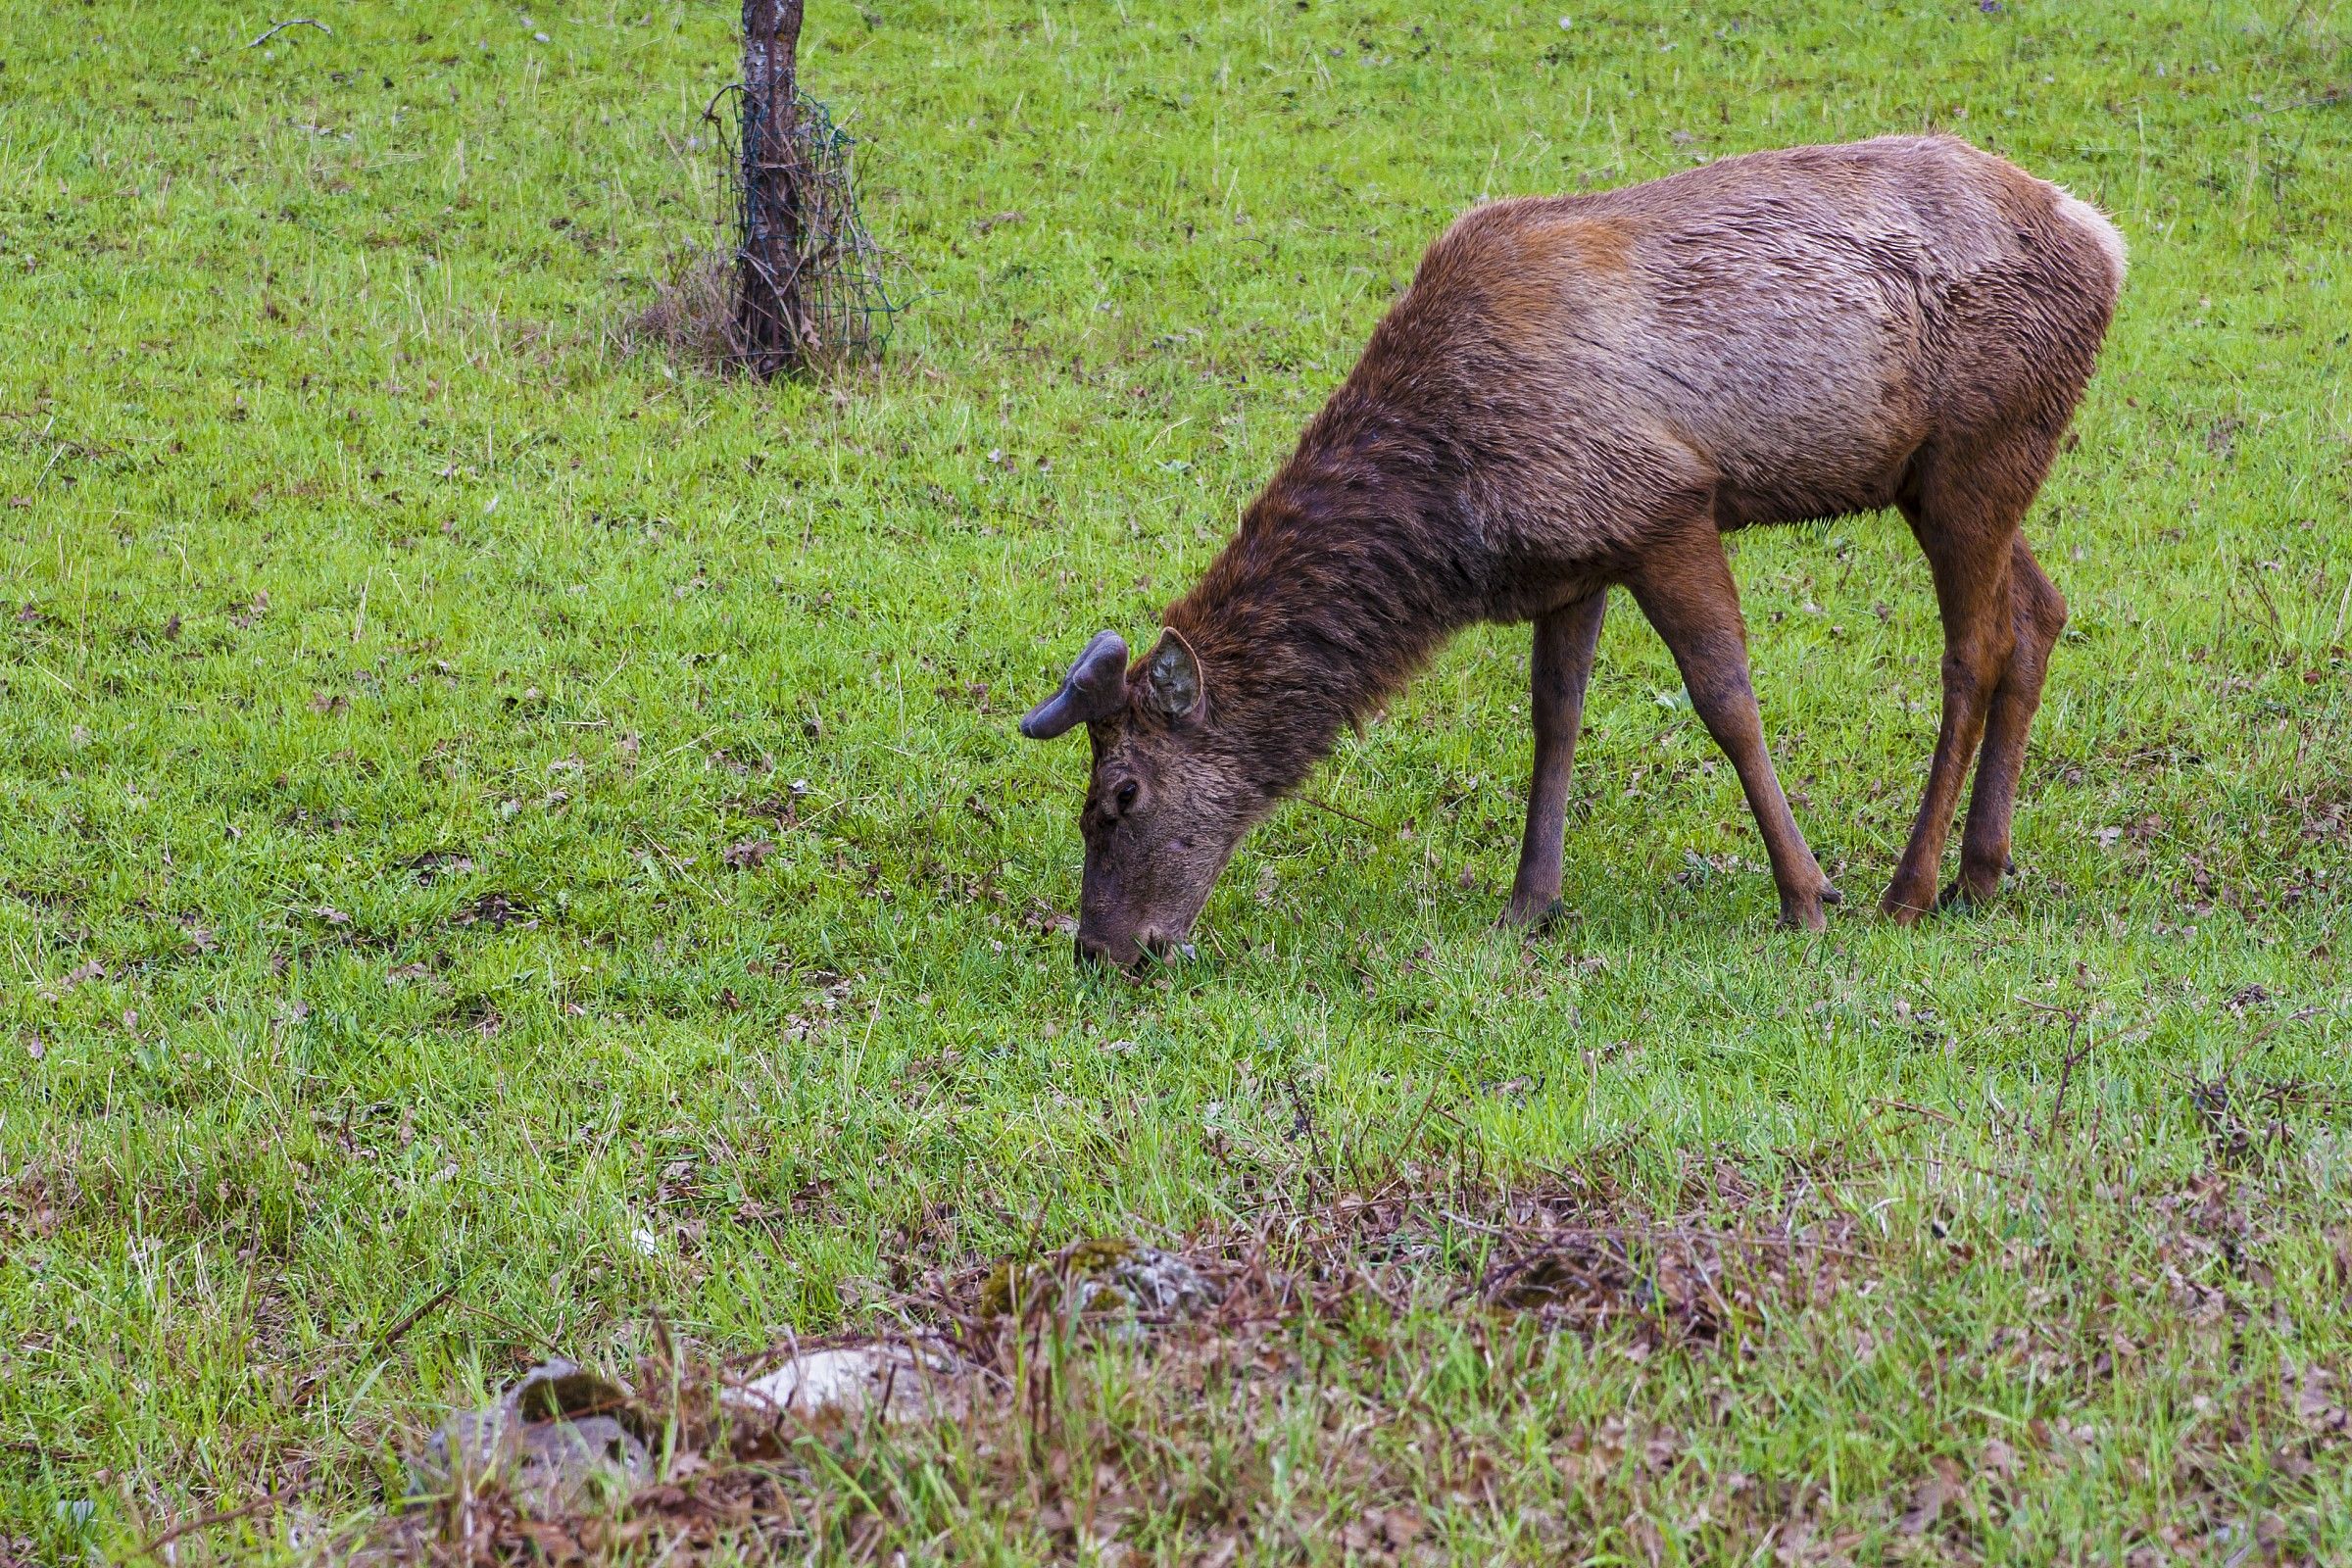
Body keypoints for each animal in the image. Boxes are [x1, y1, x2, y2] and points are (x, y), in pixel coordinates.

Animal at [1018, 135, 2125, 970]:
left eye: (1118, 798)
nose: (1100, 950)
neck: (1452, 512)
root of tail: (2105, 243)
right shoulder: (1573, 555)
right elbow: (1554, 717)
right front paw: (1528, 904)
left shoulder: (1664, 503)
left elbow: (1726, 700)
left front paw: (1806, 894)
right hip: (1945, 476)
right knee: (2042, 609)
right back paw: (1982, 873)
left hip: (1978, 454)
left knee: (1974, 649)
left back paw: (1909, 885)